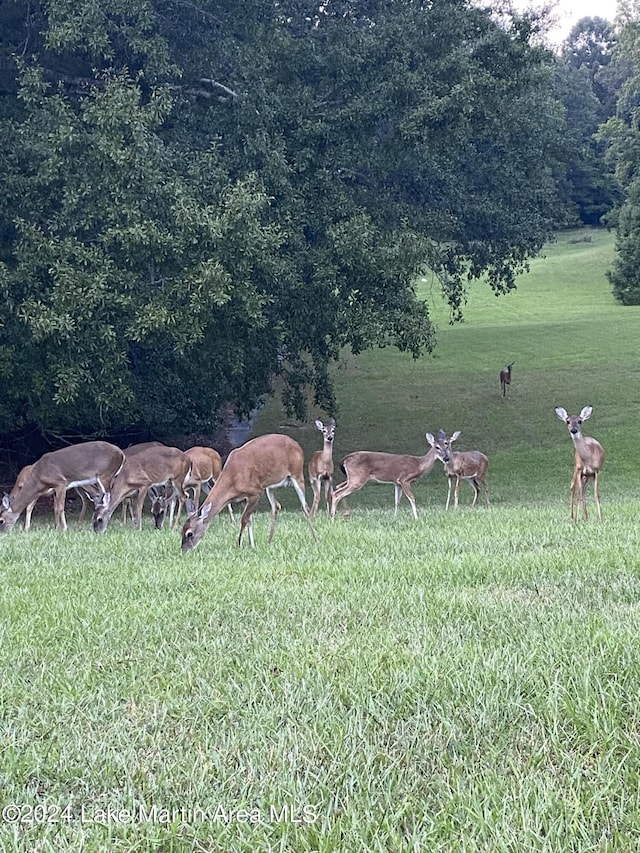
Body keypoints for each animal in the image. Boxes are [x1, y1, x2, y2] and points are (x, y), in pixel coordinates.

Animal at [181, 432, 316, 552]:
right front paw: (252, 545)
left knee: (305, 507)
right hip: (270, 486)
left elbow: (244, 519)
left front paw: (239, 544)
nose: (183, 550)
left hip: (297, 474)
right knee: (276, 507)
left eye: (189, 533)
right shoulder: (243, 497)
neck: (233, 479)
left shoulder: (255, 492)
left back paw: (315, 539)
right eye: (181, 531)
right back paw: (269, 541)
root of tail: (297, 445)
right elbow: (249, 520)